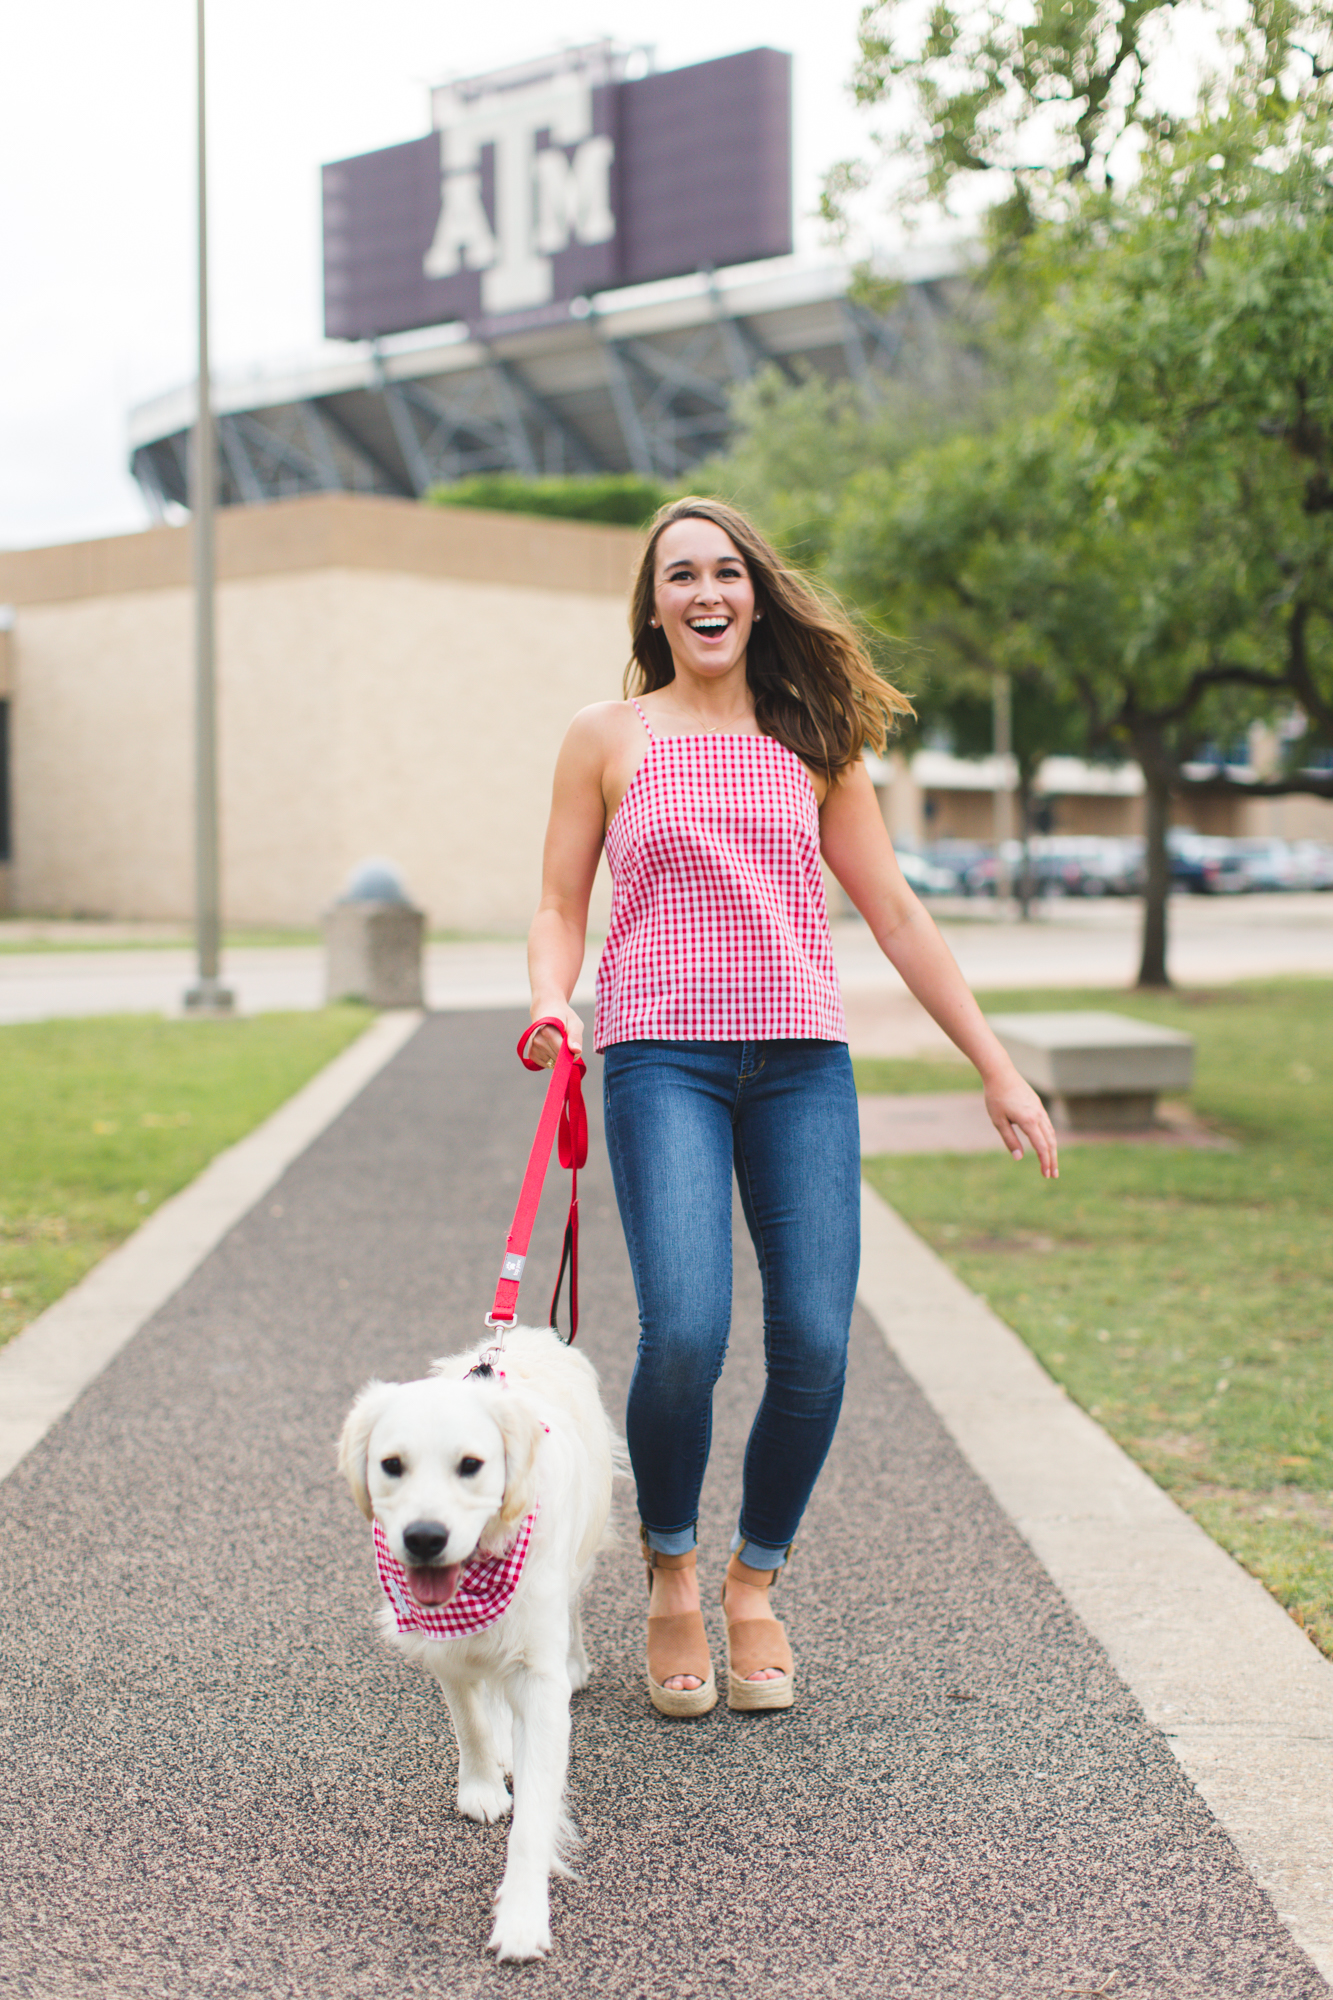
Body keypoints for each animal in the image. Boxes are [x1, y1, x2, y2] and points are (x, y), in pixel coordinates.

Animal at [338, 1320, 616, 1960]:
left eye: (471, 1465)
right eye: (391, 1465)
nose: (424, 1537)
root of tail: (531, 1333)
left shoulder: (539, 1677)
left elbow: (535, 1816)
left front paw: (522, 1918)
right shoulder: (445, 1648)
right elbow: (469, 1721)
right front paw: (483, 1785)